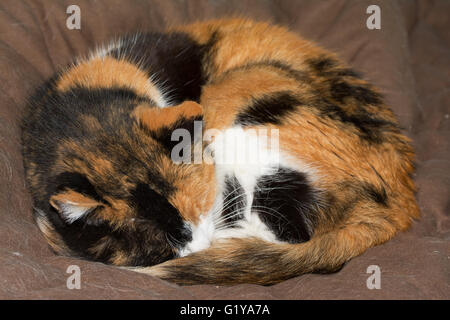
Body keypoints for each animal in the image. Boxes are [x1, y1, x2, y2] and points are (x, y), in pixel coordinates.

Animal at [21, 18, 420, 284]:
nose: (202, 244)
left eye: (201, 204)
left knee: (288, 230)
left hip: (241, 96)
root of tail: (401, 200)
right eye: (162, 243)